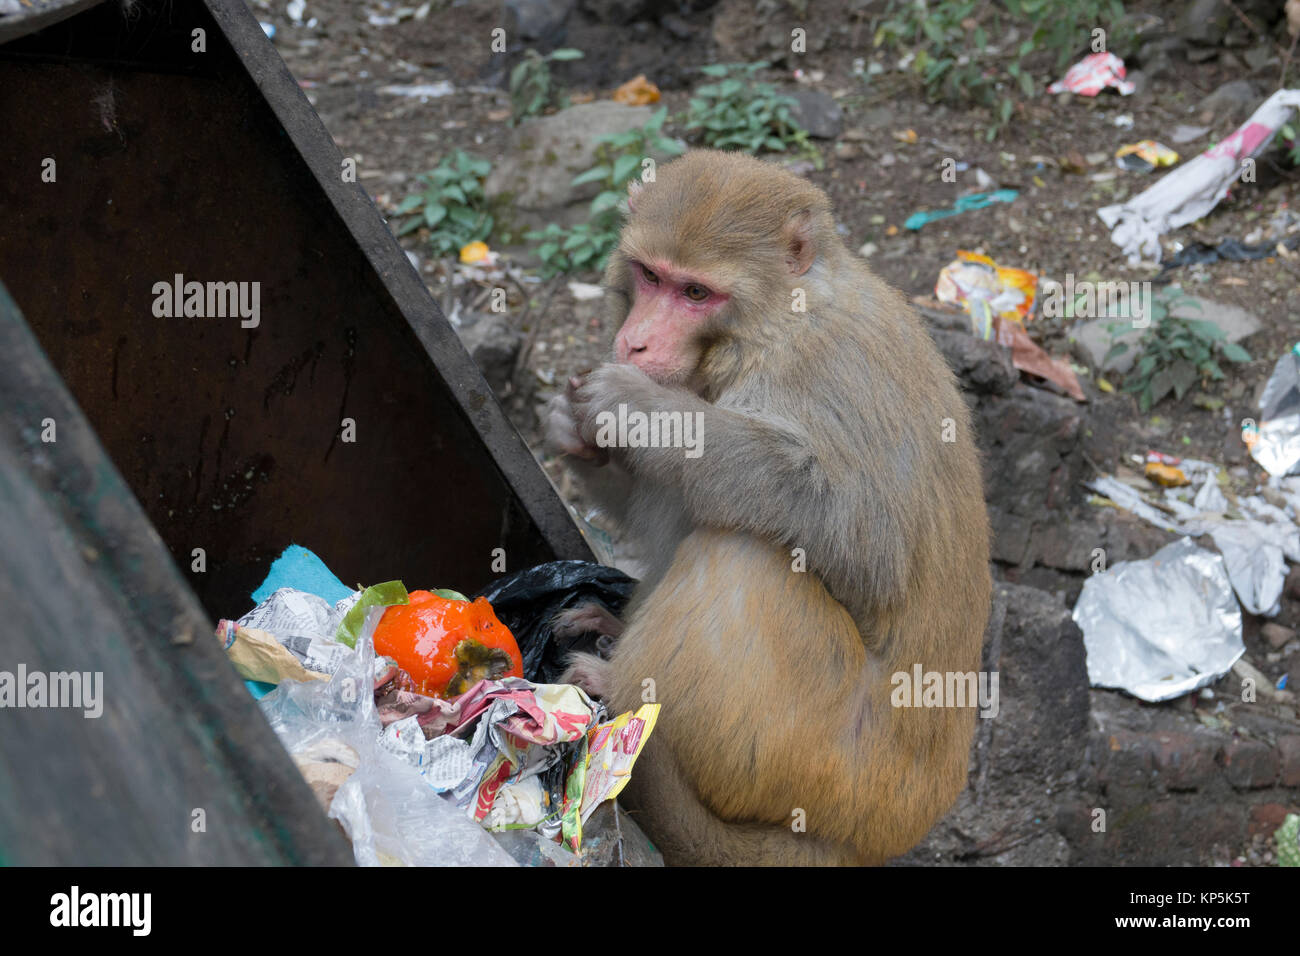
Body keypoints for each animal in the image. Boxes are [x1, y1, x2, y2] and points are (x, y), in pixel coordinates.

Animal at [546, 150, 991, 865]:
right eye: (651, 276)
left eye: (697, 294)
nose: (634, 343)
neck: (776, 323)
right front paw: (573, 431)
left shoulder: (821, 372)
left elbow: (863, 539)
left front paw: (637, 409)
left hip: (821, 763)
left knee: (744, 550)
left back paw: (623, 688)